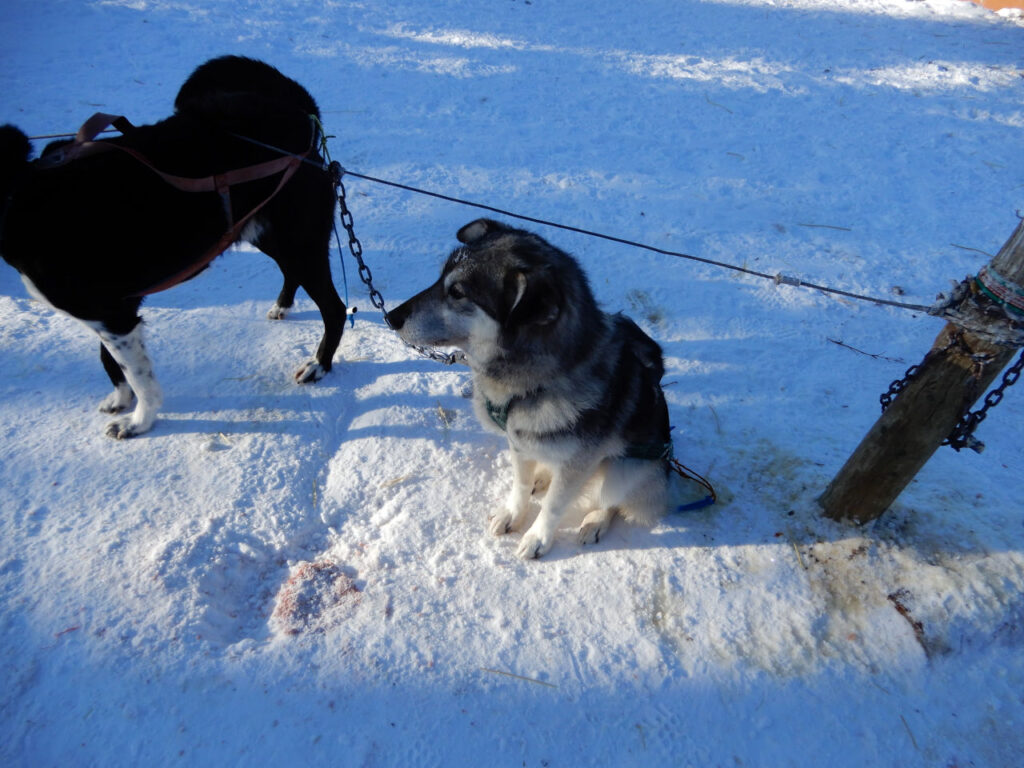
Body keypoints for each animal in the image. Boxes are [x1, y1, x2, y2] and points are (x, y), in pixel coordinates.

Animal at [0, 54, 346, 438]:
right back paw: (282, 307)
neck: (18, 193)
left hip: (299, 239)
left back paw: (318, 364)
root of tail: (300, 113)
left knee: (335, 309)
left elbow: (139, 377)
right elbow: (110, 361)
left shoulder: (113, 315)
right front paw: (121, 399)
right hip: (266, 234)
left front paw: (139, 421)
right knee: (291, 273)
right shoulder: (112, 312)